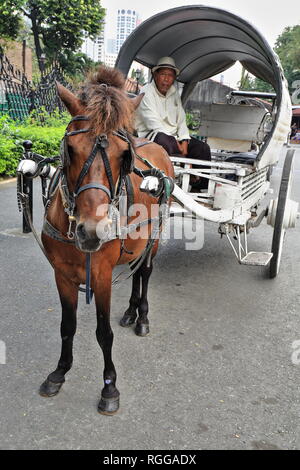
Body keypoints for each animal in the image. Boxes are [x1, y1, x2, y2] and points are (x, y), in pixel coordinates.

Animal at [38, 66, 173, 414]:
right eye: (70, 149)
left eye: (124, 156)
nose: (92, 231)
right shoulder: (61, 274)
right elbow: (67, 326)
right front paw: (59, 373)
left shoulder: (100, 275)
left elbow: (103, 333)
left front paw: (110, 386)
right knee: (135, 268)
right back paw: (129, 311)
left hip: (154, 237)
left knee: (144, 272)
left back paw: (141, 316)